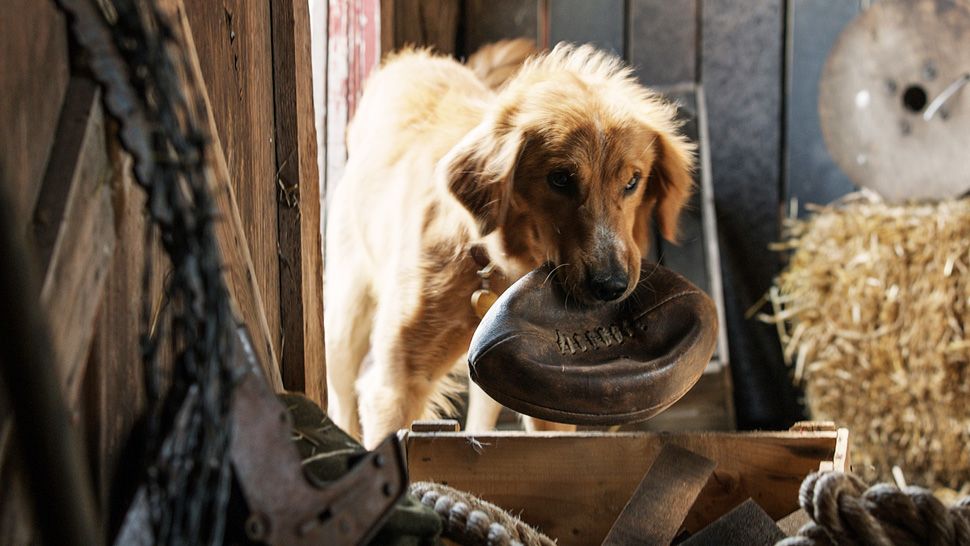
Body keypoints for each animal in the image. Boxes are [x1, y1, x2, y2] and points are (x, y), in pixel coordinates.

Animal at [328, 40, 692, 444]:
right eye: (560, 178)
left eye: (632, 182)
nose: (611, 286)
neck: (493, 261)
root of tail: (411, 59)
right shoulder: (398, 384)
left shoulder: (546, 387)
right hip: (345, 323)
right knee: (340, 399)